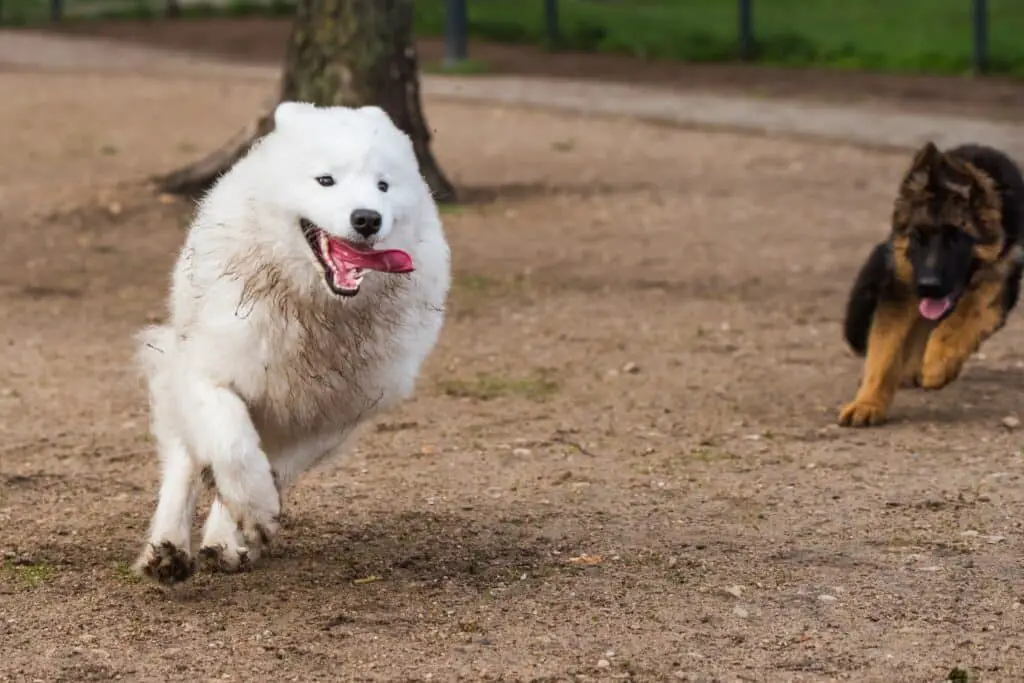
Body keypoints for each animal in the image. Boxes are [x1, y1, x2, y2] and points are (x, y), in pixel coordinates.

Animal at [133, 102, 452, 589]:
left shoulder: (328, 418)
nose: (367, 218)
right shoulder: (209, 372)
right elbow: (231, 443)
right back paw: (167, 550)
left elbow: (271, 467)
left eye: (383, 186)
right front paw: (255, 509)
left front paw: (245, 526)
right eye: (325, 180)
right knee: (186, 463)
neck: (314, 309)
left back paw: (223, 543)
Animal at [839, 141, 1024, 428]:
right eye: (917, 237)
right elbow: (884, 353)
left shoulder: (996, 285)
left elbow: (960, 320)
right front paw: (867, 404)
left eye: (956, 238)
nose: (928, 285)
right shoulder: (900, 290)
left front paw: (938, 364)